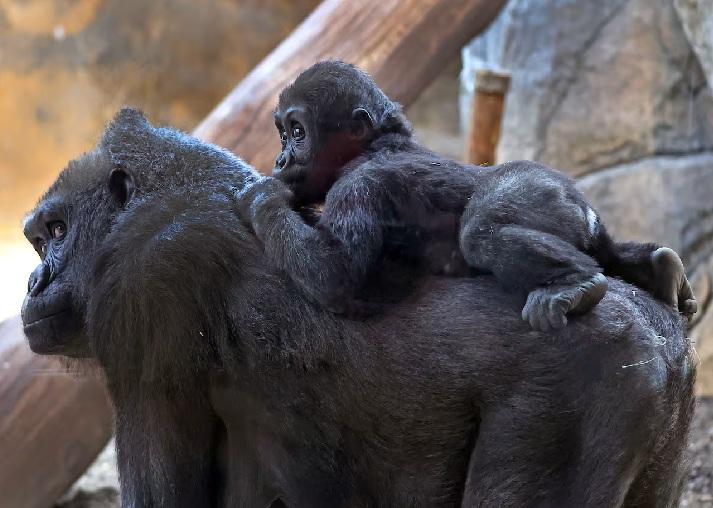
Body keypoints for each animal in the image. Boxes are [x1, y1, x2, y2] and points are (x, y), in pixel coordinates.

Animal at [20, 107, 695, 507]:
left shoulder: (145, 283)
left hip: (577, 392)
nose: (30, 283)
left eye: (57, 231)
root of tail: (661, 338)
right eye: (38, 238)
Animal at [237, 60, 697, 331]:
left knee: (480, 234)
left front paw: (264, 197)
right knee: (612, 253)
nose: (279, 159)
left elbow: (334, 272)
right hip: (589, 223)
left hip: (537, 189)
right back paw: (662, 268)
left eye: (297, 132)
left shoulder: (359, 186)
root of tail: (583, 207)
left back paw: (575, 283)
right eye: (282, 133)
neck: (373, 144)